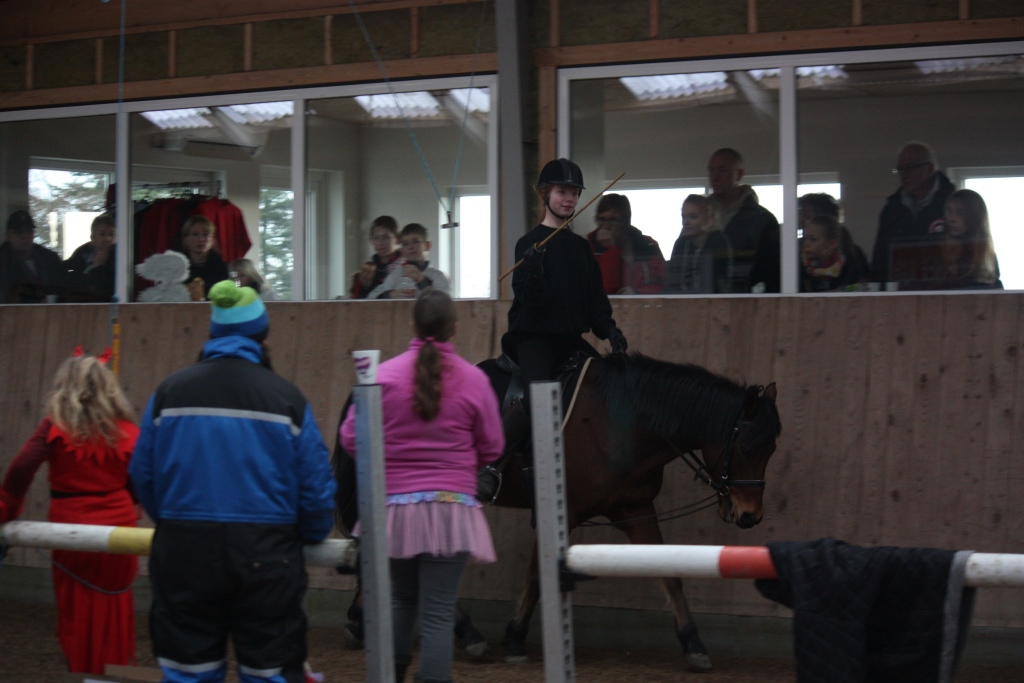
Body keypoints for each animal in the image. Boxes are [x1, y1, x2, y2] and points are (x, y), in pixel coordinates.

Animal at [332, 352, 781, 672]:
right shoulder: (566, 507)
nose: (749, 516)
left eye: (770, 450)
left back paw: (361, 619)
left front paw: (694, 644)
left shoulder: (634, 509)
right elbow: (537, 574)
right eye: (746, 447)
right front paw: (515, 637)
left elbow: (669, 573)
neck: (623, 422)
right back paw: (465, 633)